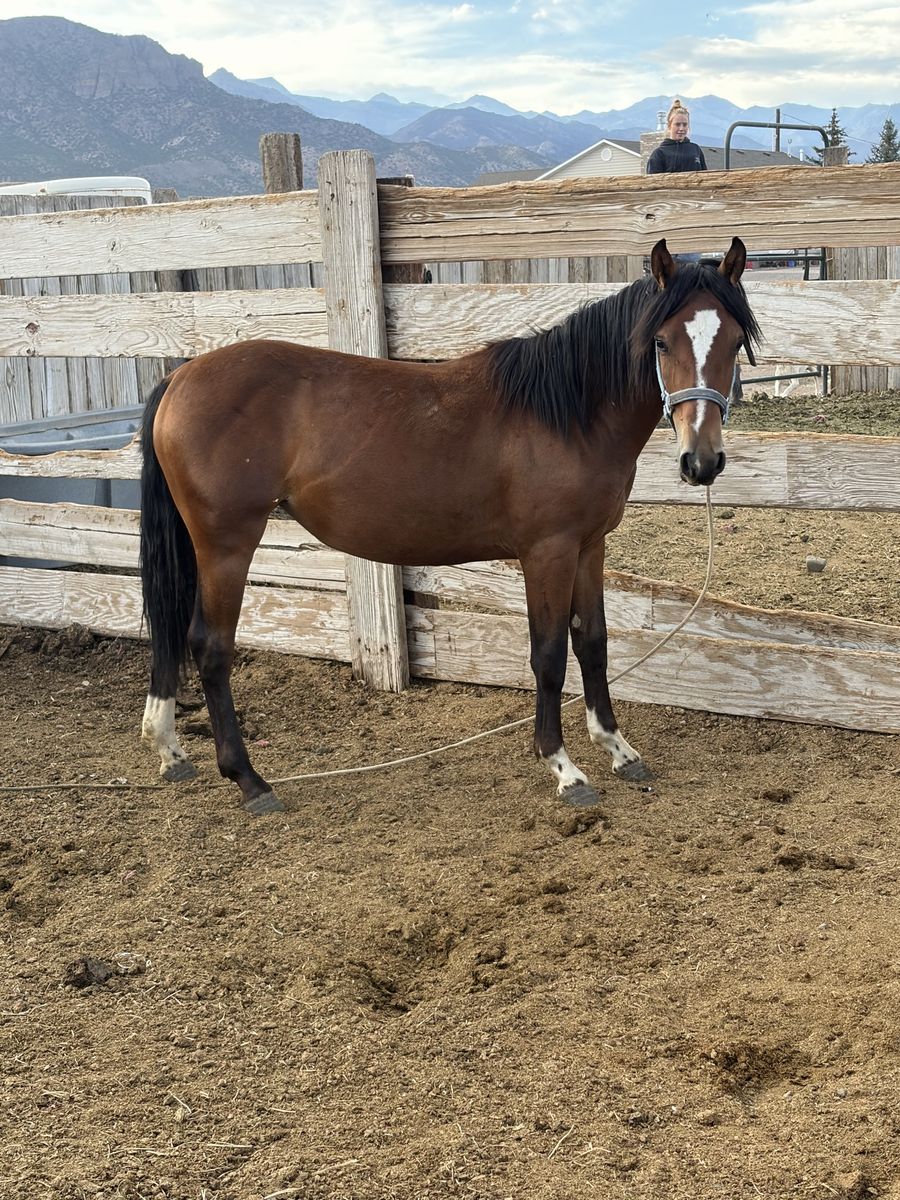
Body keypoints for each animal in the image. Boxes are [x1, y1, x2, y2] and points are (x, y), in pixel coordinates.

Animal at [139, 237, 760, 815]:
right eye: (662, 341)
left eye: (733, 341)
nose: (702, 462)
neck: (568, 413)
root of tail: (181, 376)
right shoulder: (548, 551)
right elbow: (549, 654)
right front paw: (563, 768)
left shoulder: (589, 546)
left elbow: (594, 643)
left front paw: (618, 749)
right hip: (227, 543)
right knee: (210, 645)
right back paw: (249, 780)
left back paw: (170, 749)